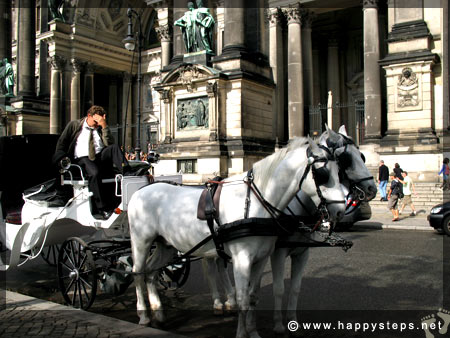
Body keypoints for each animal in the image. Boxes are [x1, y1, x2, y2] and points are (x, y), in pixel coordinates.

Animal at [128, 137, 346, 338]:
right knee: (138, 272)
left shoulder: (261, 259)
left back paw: (158, 313)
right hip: (141, 241)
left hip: (166, 245)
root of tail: (141, 190)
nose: (341, 211)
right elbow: (242, 300)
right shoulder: (242, 260)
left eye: (340, 171)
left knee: (151, 271)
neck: (255, 202)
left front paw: (254, 332)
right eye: (323, 174)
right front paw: (242, 333)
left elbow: (252, 297)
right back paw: (144, 315)